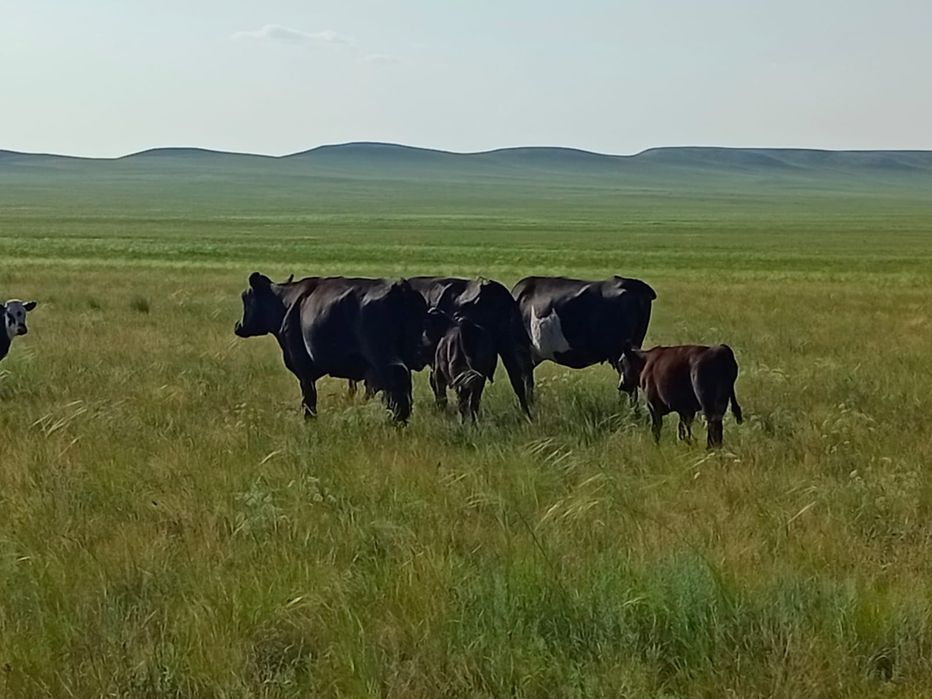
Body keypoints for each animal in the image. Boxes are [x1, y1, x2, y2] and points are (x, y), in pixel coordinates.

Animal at [234, 273, 427, 423]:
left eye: (245, 297)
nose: (238, 326)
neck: (286, 303)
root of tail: (400, 286)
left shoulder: (302, 368)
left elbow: (309, 399)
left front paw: (309, 421)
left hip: (383, 357)